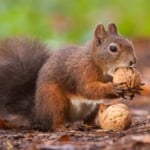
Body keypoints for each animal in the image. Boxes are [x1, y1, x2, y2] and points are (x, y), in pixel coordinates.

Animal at [0, 23, 137, 130]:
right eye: (113, 48)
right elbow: (87, 89)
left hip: (94, 107)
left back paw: (92, 124)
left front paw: (130, 91)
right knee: (55, 119)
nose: (133, 61)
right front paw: (112, 88)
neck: (97, 63)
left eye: (130, 43)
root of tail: (38, 113)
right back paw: (62, 127)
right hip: (54, 100)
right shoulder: (82, 72)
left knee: (88, 119)